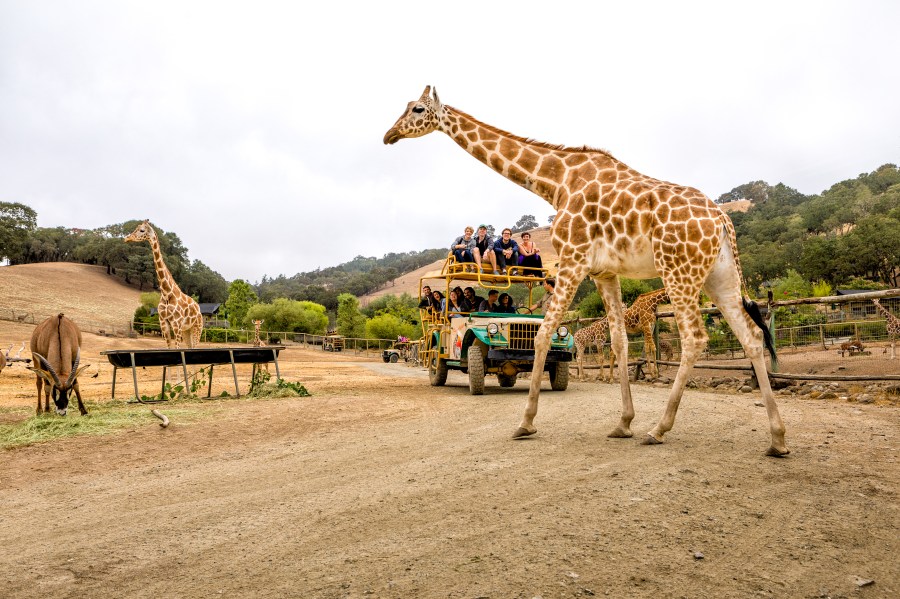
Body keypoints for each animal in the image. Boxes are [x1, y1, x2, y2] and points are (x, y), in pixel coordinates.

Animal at [125, 220, 203, 349]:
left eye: (142, 230)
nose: (127, 238)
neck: (166, 293)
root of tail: (198, 309)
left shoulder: (176, 324)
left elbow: (177, 349)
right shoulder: (163, 322)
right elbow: (169, 347)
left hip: (197, 327)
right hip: (186, 330)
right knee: (190, 347)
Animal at [385, 87, 788, 456]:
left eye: (417, 108)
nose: (389, 135)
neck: (557, 182)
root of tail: (722, 220)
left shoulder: (573, 258)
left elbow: (544, 334)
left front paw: (525, 422)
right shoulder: (604, 272)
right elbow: (619, 341)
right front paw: (623, 423)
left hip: (678, 270)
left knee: (695, 337)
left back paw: (659, 429)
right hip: (719, 277)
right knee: (752, 335)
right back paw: (777, 439)